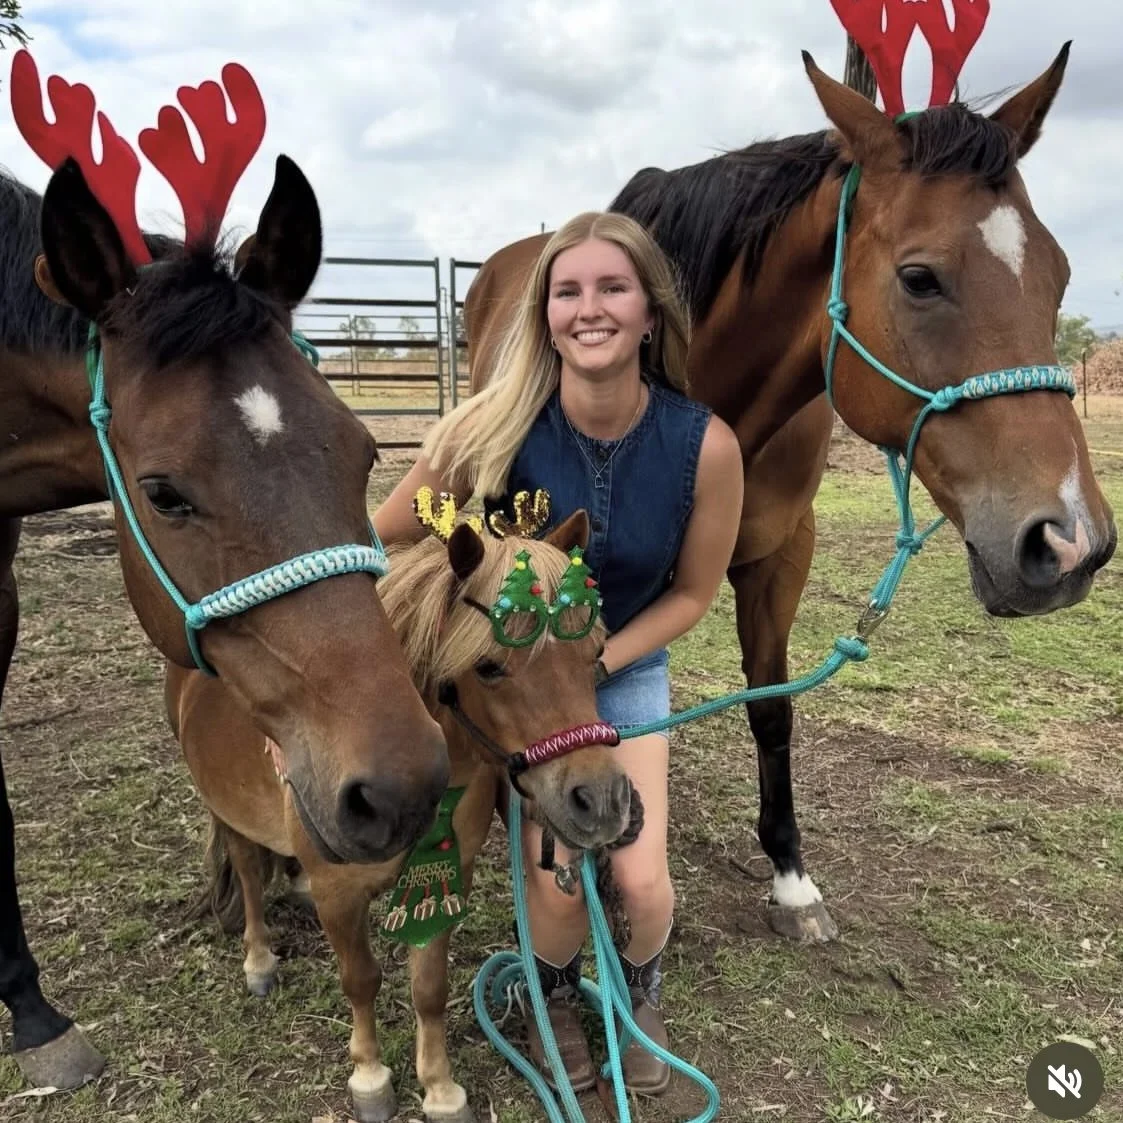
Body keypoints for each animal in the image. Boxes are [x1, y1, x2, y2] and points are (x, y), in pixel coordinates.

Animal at [168, 506, 630, 1123]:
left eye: (595, 658)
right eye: (488, 668)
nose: (601, 799)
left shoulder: (447, 879)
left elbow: (428, 987)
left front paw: (439, 1086)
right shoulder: (341, 894)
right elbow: (361, 980)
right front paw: (370, 1075)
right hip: (225, 812)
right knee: (245, 873)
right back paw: (259, 960)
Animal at [463, 47, 1117, 945]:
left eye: (1057, 274)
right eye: (919, 278)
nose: (1069, 542)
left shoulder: (780, 555)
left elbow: (770, 710)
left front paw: (790, 876)